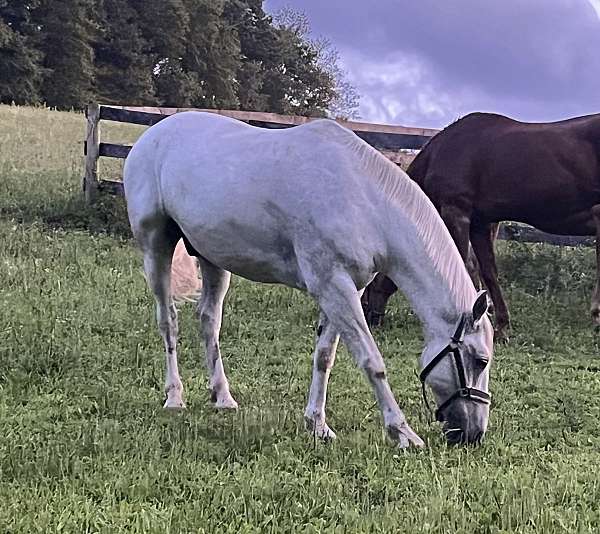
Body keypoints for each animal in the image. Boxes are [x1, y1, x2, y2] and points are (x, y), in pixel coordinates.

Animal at [124, 112, 494, 448]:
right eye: (480, 360)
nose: (474, 434)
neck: (363, 200)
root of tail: (151, 136)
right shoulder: (334, 287)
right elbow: (372, 360)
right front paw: (402, 433)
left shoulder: (343, 289)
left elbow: (324, 356)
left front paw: (317, 424)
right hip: (156, 247)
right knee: (168, 320)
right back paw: (175, 397)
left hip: (213, 259)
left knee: (209, 321)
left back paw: (223, 397)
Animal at [360, 113, 600, 342]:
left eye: (369, 282)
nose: (369, 318)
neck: (441, 152)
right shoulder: (480, 224)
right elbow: (488, 271)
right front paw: (501, 325)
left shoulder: (456, 213)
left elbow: (462, 264)